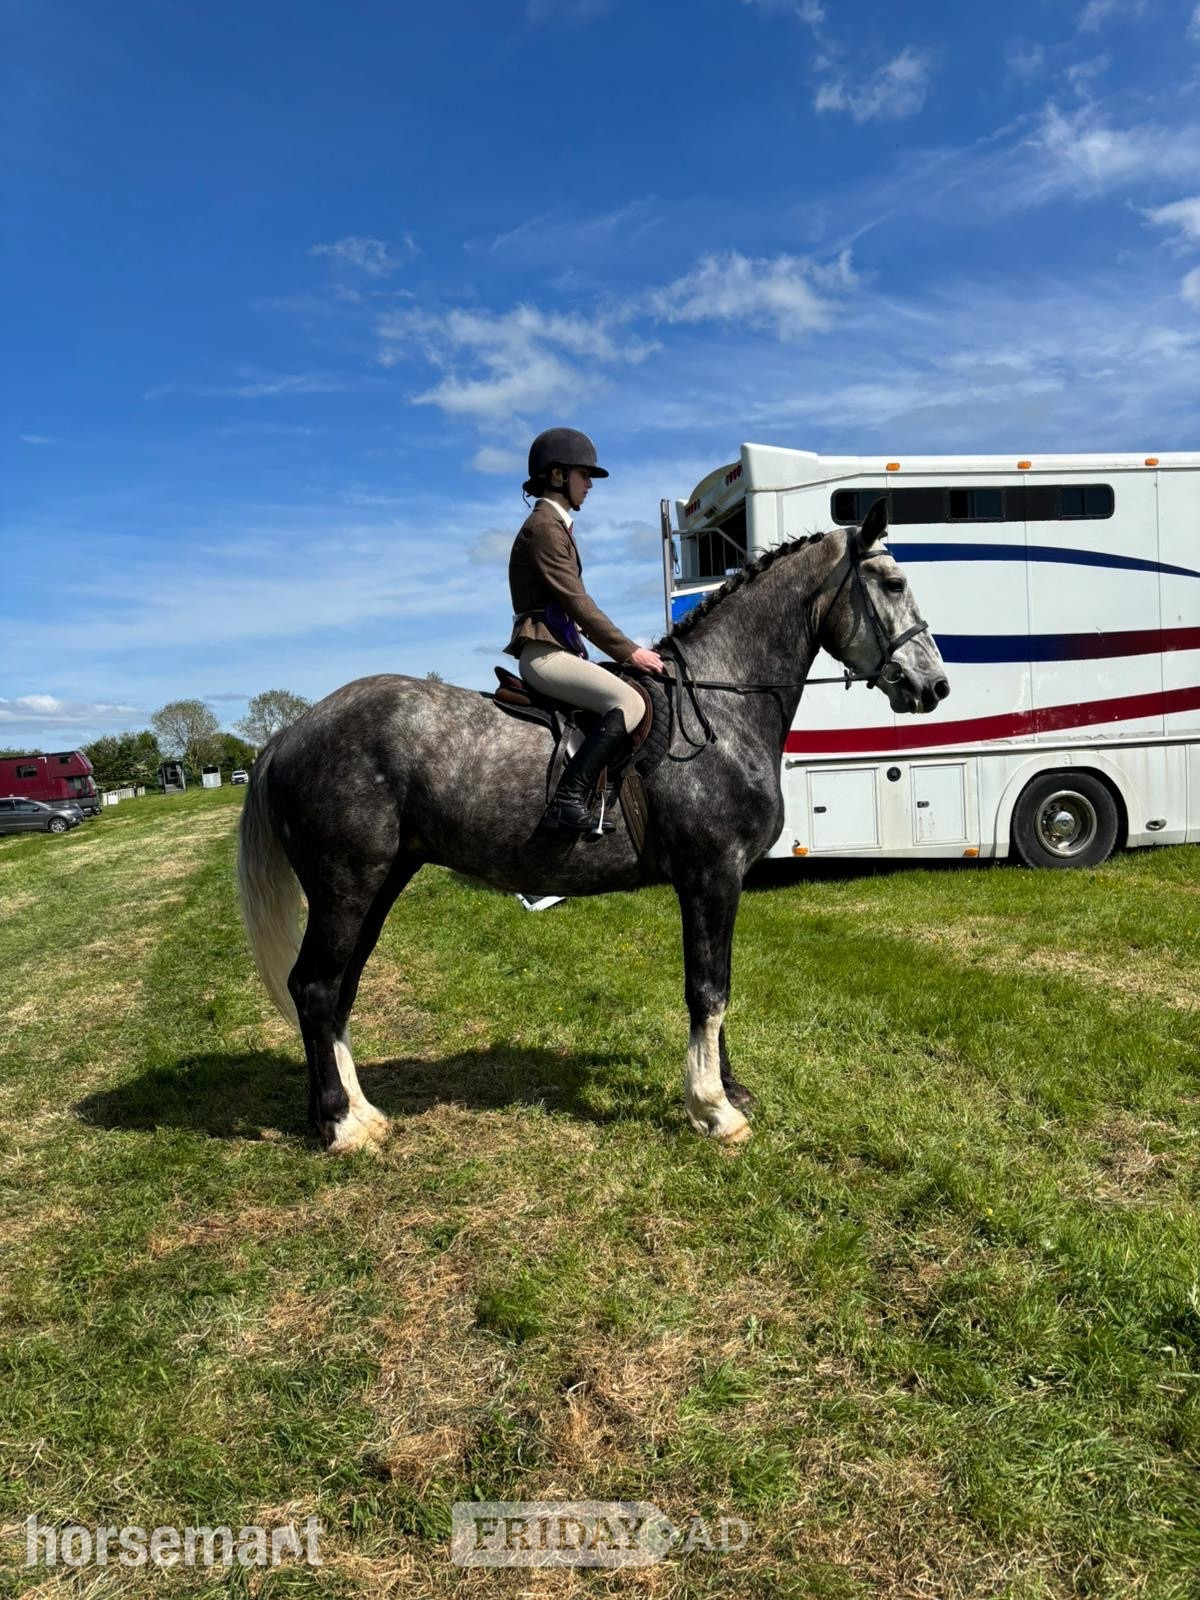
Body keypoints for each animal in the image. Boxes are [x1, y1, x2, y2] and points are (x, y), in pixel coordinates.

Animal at [236, 497, 949, 1155]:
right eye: (892, 584)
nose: (935, 687)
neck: (720, 706)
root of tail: (290, 734)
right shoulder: (711, 876)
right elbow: (708, 988)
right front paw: (715, 1110)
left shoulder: (719, 884)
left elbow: (719, 985)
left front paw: (730, 1088)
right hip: (346, 886)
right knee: (315, 987)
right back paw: (339, 1125)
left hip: (378, 884)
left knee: (339, 989)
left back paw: (359, 1113)